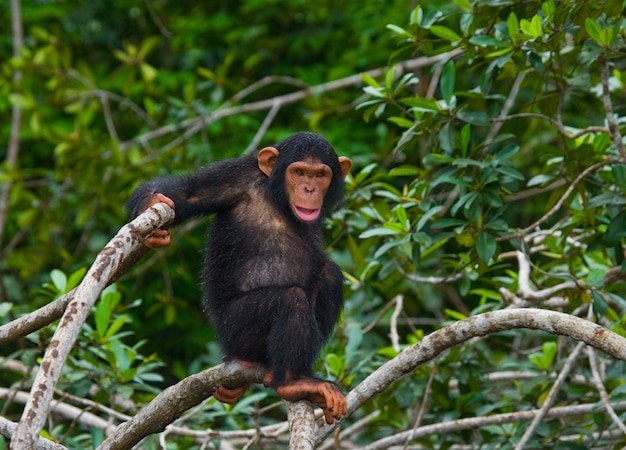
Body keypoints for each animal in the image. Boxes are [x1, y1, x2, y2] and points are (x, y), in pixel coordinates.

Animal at [128, 132, 352, 424]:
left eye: (320, 175)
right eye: (299, 172)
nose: (309, 189)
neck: (276, 199)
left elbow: (321, 264)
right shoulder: (234, 179)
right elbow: (188, 193)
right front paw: (151, 203)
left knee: (330, 275)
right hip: (235, 329)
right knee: (291, 299)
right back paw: (292, 382)